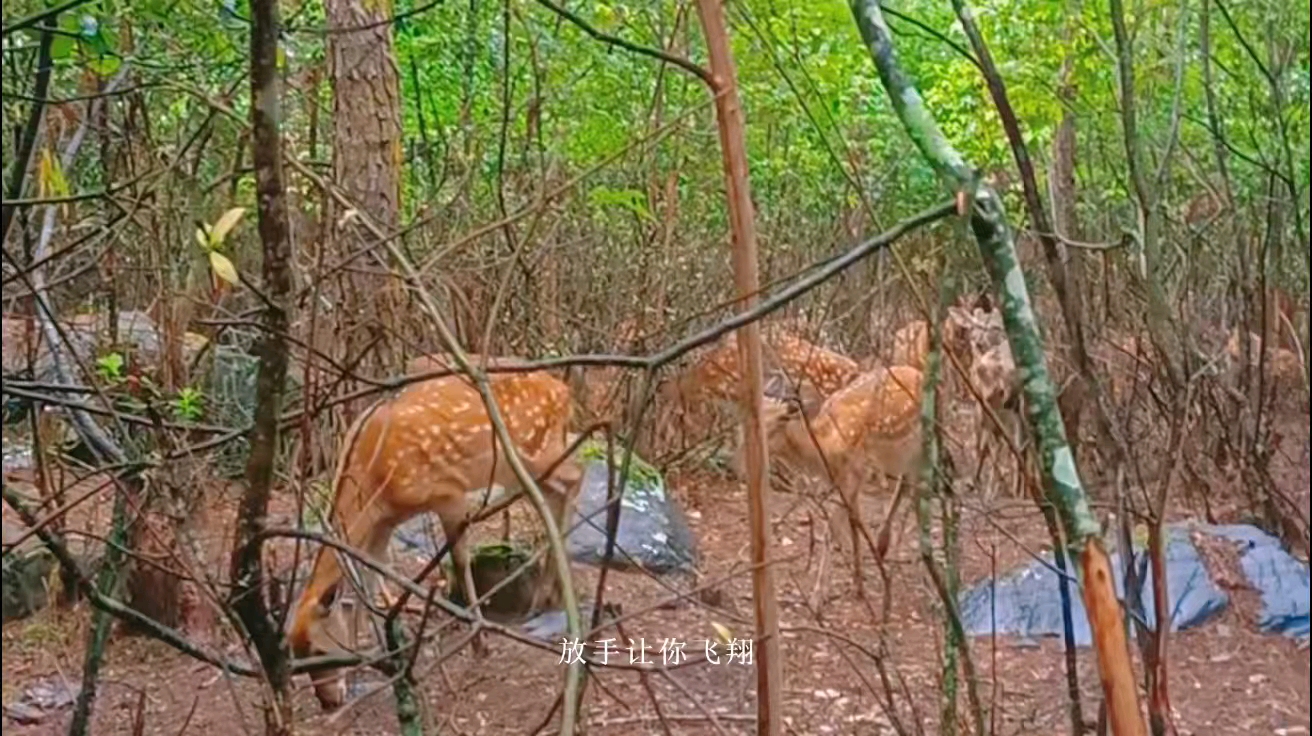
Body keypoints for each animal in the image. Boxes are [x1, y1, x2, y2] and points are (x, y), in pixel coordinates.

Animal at [760, 362, 923, 598]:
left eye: (776, 422)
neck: (824, 449)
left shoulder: (854, 471)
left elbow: (832, 528)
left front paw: (818, 595)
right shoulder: (844, 479)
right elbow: (854, 521)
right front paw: (858, 583)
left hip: (916, 445)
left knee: (913, 485)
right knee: (907, 483)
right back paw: (883, 546)